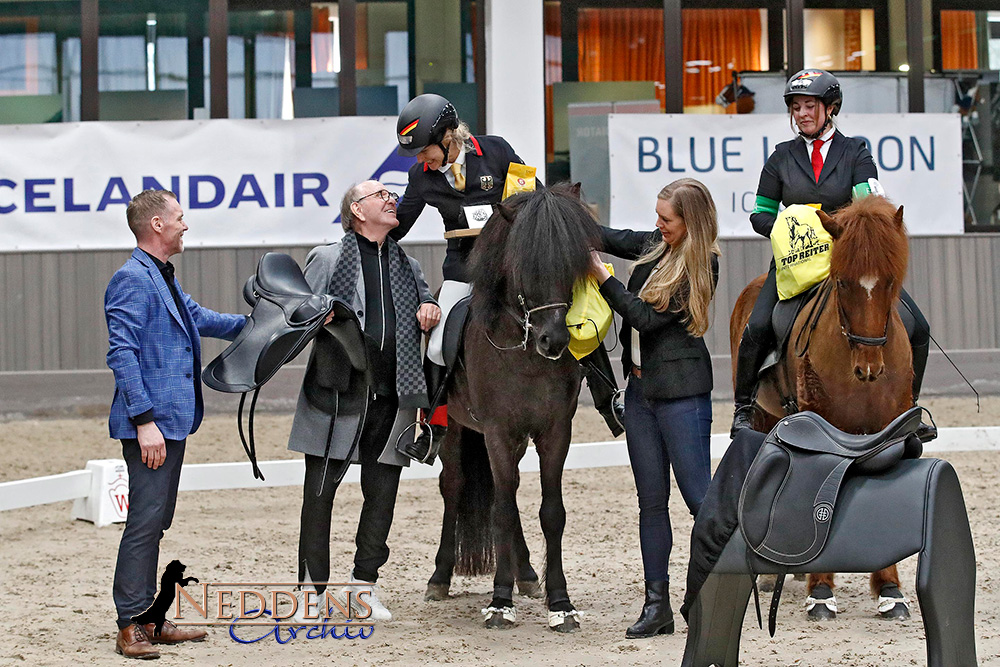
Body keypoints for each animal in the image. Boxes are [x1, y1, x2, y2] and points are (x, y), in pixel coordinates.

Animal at [422, 184, 600, 632]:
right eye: (524, 265)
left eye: (572, 263)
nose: (555, 340)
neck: (525, 353)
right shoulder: (498, 432)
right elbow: (501, 509)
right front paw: (500, 602)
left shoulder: (555, 432)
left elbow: (551, 512)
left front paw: (561, 604)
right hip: (456, 429)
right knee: (454, 487)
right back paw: (440, 579)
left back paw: (528, 576)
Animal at [732, 196, 916, 624]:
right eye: (842, 281)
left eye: (890, 281)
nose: (869, 367)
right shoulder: (821, 428)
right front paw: (820, 593)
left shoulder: (890, 429)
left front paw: (890, 591)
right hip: (764, 414)